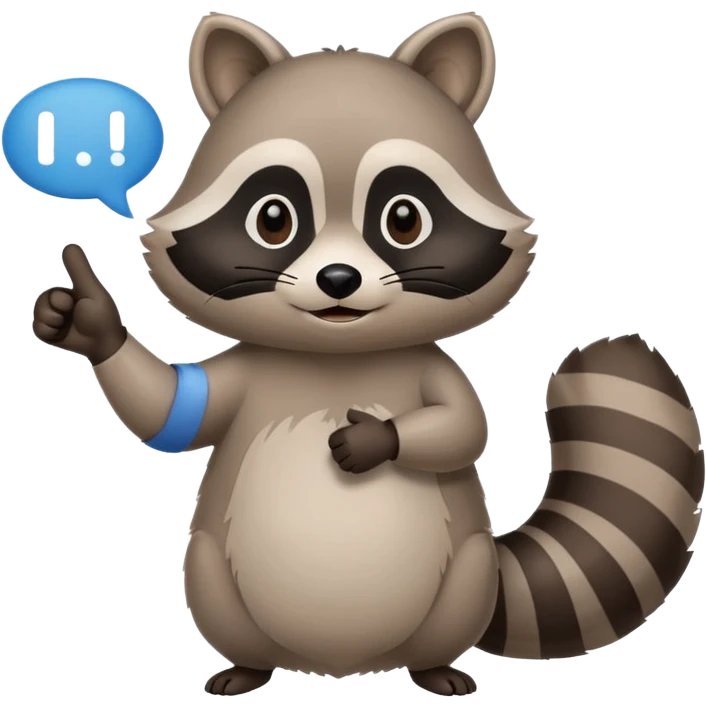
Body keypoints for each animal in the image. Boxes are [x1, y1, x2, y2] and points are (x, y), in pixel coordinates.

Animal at [32, 11, 704, 698]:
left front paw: (379, 438)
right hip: (211, 574)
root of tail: (342, 665)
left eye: (403, 219)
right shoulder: (250, 370)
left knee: (447, 612)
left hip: (466, 579)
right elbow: (173, 410)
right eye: (272, 219)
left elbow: (463, 427)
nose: (337, 279)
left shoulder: (432, 366)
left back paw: (435, 668)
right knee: (218, 595)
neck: (337, 356)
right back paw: (246, 667)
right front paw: (94, 324)